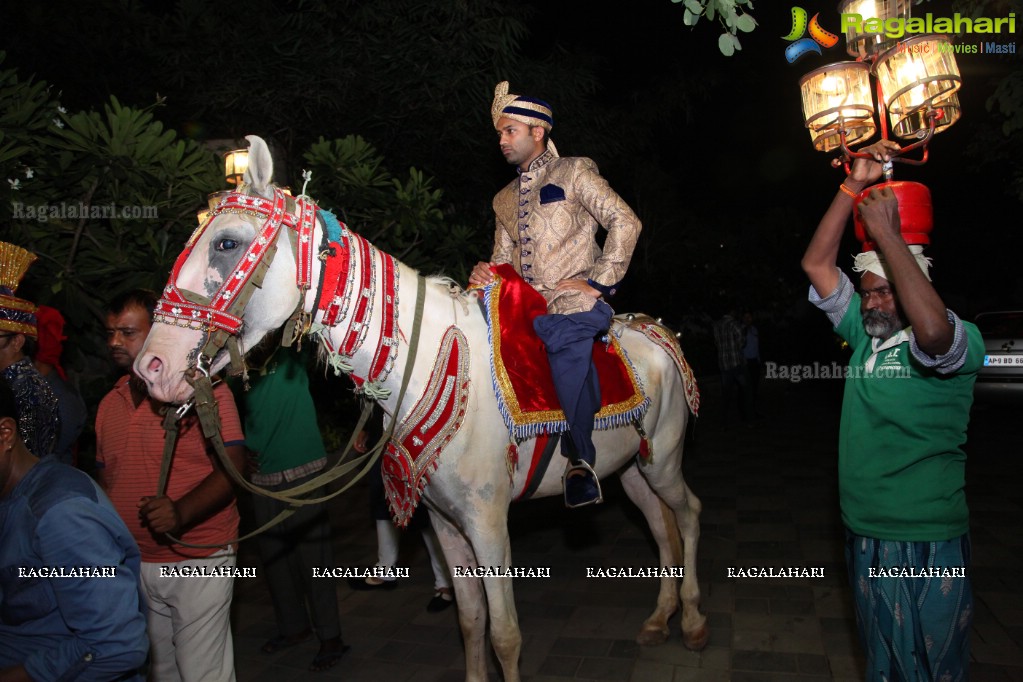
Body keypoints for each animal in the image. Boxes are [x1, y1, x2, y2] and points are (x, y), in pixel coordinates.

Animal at [136, 135, 707, 678]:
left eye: (227, 242)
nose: (151, 367)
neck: (436, 364)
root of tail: (657, 331)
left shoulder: (488, 522)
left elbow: (505, 634)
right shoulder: (445, 521)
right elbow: (471, 621)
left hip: (664, 456)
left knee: (687, 514)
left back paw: (693, 622)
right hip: (631, 464)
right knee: (659, 523)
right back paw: (659, 619)